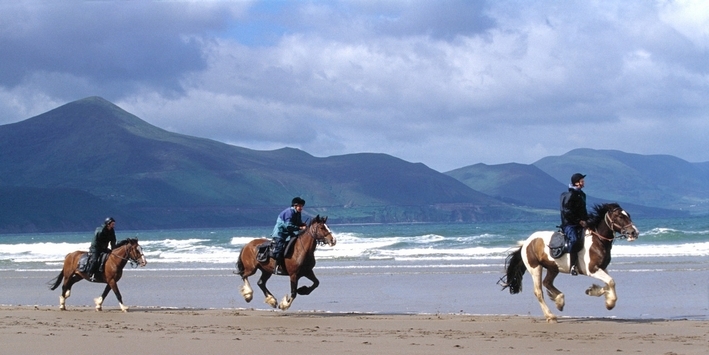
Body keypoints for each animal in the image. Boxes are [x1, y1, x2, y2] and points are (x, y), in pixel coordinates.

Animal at [498, 203, 640, 322]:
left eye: (628, 215)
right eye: (620, 216)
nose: (634, 232)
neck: (598, 241)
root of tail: (527, 242)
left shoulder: (602, 268)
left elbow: (608, 283)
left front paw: (594, 291)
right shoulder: (592, 269)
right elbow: (611, 282)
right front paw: (610, 303)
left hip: (553, 268)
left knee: (547, 282)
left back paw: (559, 301)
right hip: (535, 268)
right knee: (538, 291)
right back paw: (550, 316)